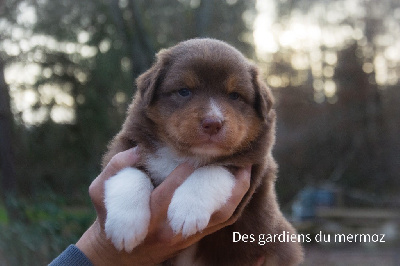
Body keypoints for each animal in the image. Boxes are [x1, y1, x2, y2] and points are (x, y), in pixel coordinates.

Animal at [102, 38, 304, 264]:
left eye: (235, 96)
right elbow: (129, 173)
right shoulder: (127, 146)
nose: (213, 123)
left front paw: (187, 211)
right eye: (184, 91)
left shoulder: (251, 170)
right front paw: (125, 226)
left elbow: (211, 171)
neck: (186, 154)